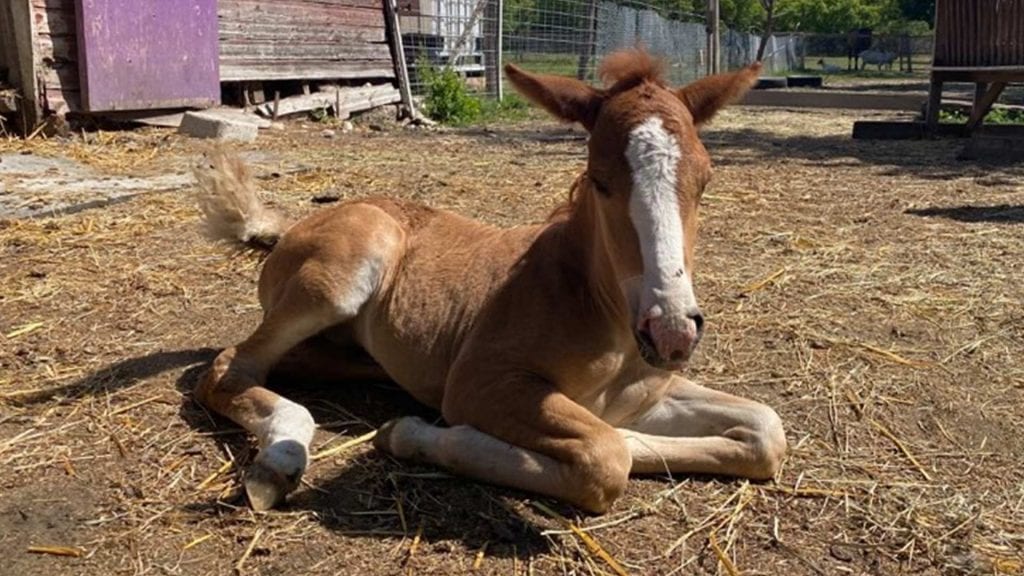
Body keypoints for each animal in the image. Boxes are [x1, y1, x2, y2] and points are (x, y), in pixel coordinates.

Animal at [195, 50, 786, 510]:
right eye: (599, 180)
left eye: (705, 180)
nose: (672, 332)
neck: (600, 311)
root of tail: (288, 227)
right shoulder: (479, 381)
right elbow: (605, 456)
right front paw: (412, 434)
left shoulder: (650, 394)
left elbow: (765, 430)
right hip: (345, 273)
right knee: (230, 365)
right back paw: (278, 460)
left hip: (351, 351)